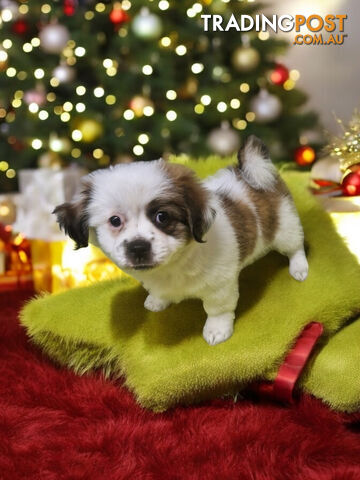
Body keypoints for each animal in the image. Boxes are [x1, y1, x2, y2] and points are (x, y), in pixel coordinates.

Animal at [54, 137, 308, 346]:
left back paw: (299, 267)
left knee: (295, 247)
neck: (173, 265)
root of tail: (249, 171)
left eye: (162, 217)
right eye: (115, 220)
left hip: (285, 228)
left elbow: (218, 309)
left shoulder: (220, 286)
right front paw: (158, 300)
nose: (138, 247)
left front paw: (217, 329)